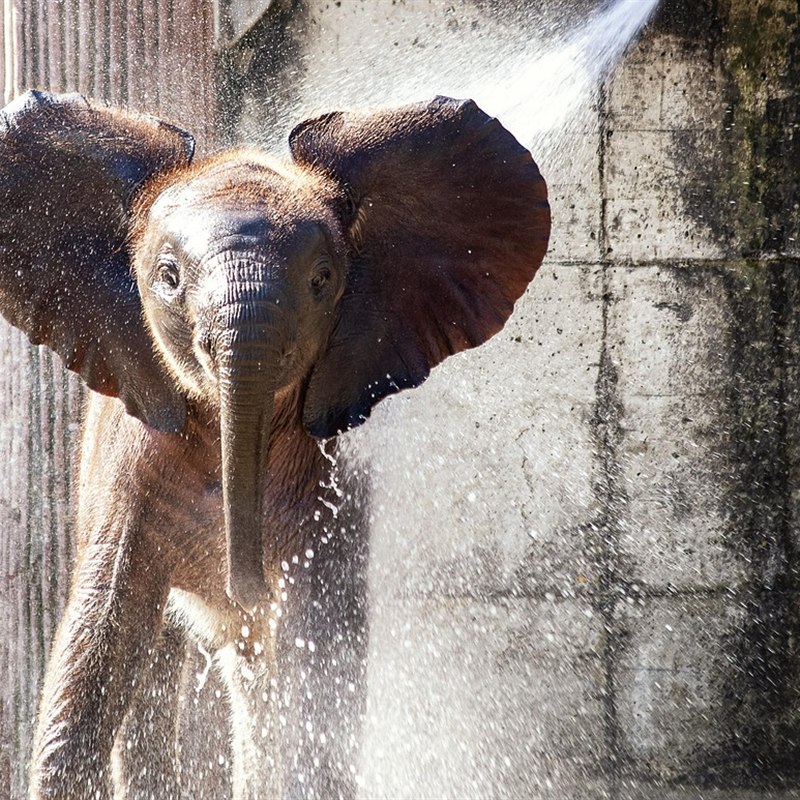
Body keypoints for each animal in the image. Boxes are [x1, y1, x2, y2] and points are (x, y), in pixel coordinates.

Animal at [0, 90, 550, 799]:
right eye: (168, 276)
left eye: (323, 279)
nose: (247, 588)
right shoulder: (128, 472)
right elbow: (96, 645)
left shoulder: (325, 491)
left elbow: (310, 673)